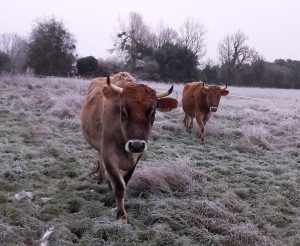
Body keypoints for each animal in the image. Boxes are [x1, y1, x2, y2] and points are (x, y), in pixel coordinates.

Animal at [80, 72, 178, 224]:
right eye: (124, 111)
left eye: (152, 112)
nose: (136, 144)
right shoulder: (109, 155)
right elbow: (119, 187)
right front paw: (121, 216)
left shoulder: (137, 157)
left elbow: (125, 181)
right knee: (99, 157)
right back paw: (100, 178)